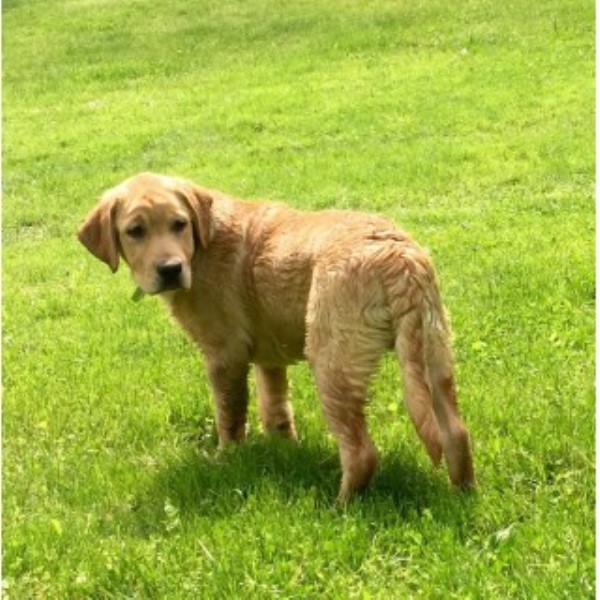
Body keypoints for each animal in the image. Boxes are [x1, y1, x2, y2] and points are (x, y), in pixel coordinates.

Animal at [77, 171, 476, 500]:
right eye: (135, 231)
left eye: (179, 224)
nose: (171, 269)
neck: (202, 242)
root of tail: (398, 255)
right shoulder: (268, 357)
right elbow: (276, 407)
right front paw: (284, 447)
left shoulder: (224, 355)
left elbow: (230, 416)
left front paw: (227, 460)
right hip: (433, 353)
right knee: (456, 433)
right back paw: (463, 494)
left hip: (333, 362)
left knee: (362, 452)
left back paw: (341, 507)